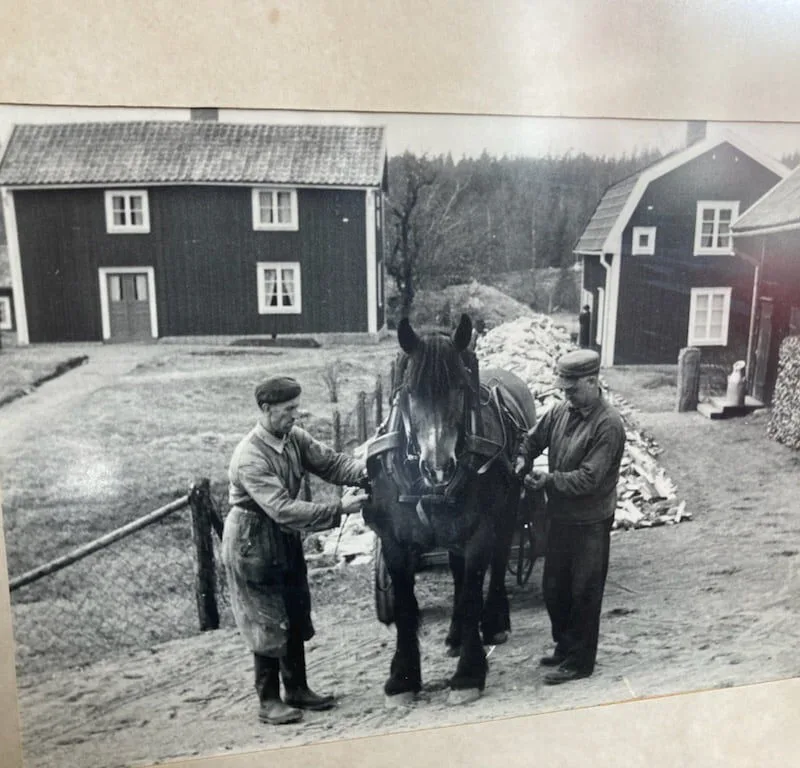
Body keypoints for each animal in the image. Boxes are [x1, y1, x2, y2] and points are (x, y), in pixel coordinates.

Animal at [361, 312, 540, 706]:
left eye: (460, 387)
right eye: (410, 391)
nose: (438, 467)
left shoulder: (479, 532)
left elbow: (473, 590)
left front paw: (468, 675)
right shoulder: (394, 542)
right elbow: (406, 605)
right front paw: (403, 677)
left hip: (506, 515)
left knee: (498, 564)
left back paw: (494, 623)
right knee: (457, 572)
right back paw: (456, 635)